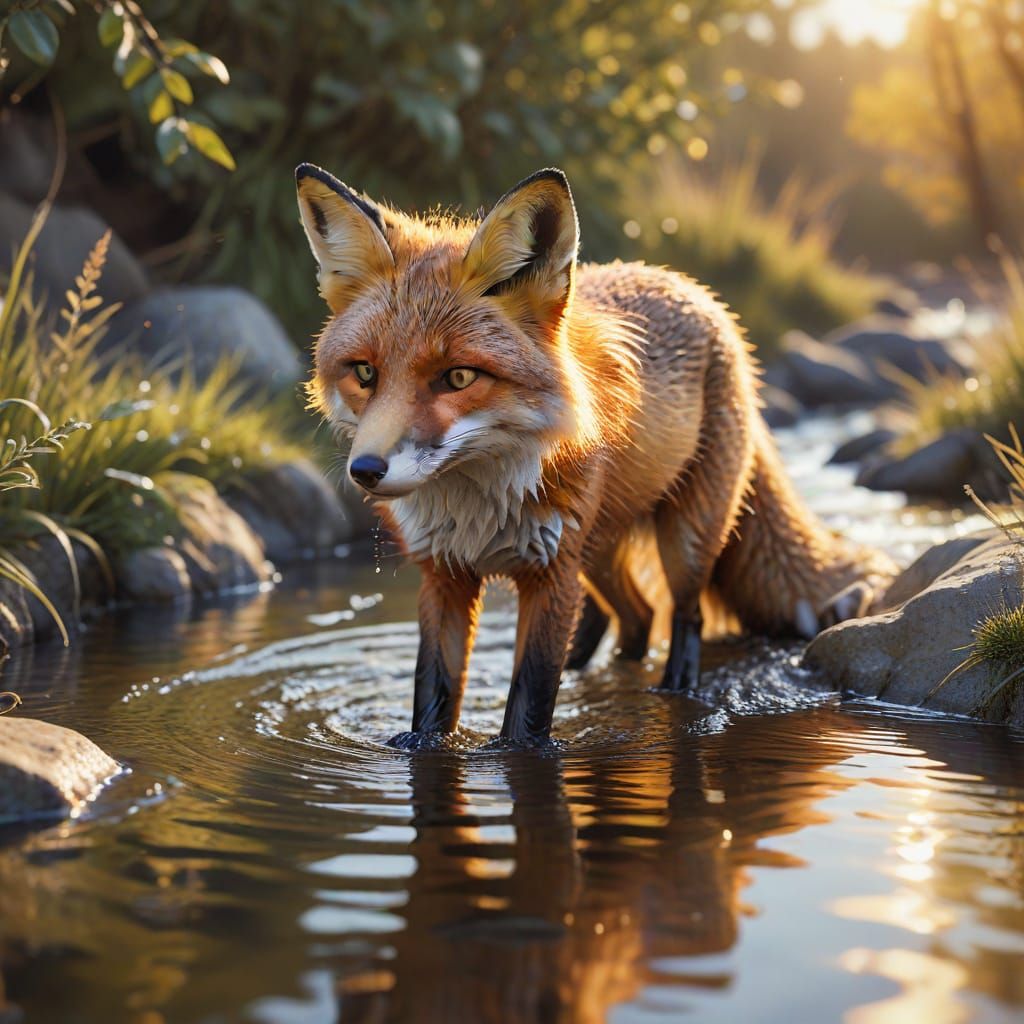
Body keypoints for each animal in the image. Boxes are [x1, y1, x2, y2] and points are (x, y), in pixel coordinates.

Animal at [295, 163, 895, 746]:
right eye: (365, 373)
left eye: (459, 377)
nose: (366, 471)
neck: (478, 510)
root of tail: (688, 285)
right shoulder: (445, 577)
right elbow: (434, 692)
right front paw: (419, 744)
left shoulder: (552, 571)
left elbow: (530, 702)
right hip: (598, 550)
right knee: (630, 618)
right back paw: (595, 672)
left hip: (683, 538)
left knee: (684, 617)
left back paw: (674, 690)